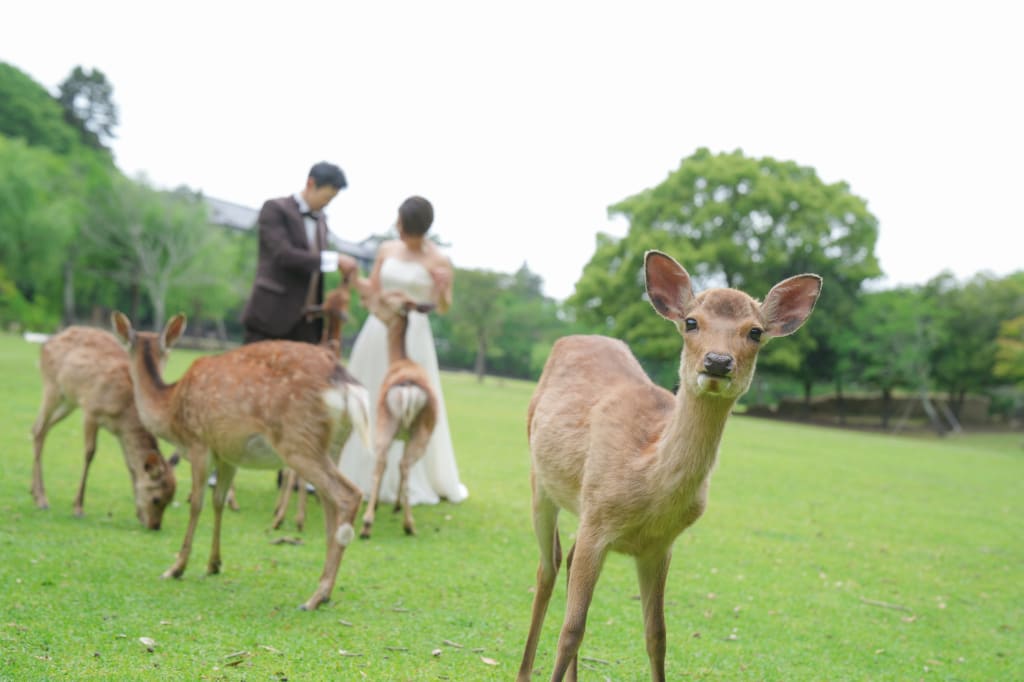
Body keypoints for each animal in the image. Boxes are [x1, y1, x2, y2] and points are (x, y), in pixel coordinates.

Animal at [29, 327, 178, 528]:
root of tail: (46, 343)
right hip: (51, 387)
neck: (125, 411)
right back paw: (42, 500)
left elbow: (131, 466)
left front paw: (138, 514)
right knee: (38, 428)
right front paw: (78, 508)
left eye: (170, 500)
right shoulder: (91, 411)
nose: (155, 526)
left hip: (69, 402)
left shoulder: (121, 432)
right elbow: (89, 454)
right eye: (156, 499)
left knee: (40, 429)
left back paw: (33, 491)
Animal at [111, 311, 372, 606]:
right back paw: (324, 591)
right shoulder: (229, 456)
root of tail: (348, 386)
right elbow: (218, 501)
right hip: (333, 446)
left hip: (298, 440)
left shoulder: (200, 443)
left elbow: (197, 504)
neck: (170, 409)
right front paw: (213, 564)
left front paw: (176, 568)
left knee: (348, 494)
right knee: (330, 506)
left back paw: (315, 597)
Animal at [358, 286, 438, 536]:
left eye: (385, 299)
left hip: (388, 424)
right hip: (414, 430)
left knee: (386, 462)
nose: (365, 299)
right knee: (400, 463)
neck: (400, 360)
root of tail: (409, 391)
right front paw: (394, 505)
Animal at [516, 250, 819, 679]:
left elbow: (657, 636)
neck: (647, 477)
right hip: (539, 479)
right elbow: (572, 629)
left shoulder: (659, 545)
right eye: (691, 322)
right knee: (548, 566)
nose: (718, 361)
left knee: (566, 559)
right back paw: (523, 670)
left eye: (756, 332)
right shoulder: (597, 518)